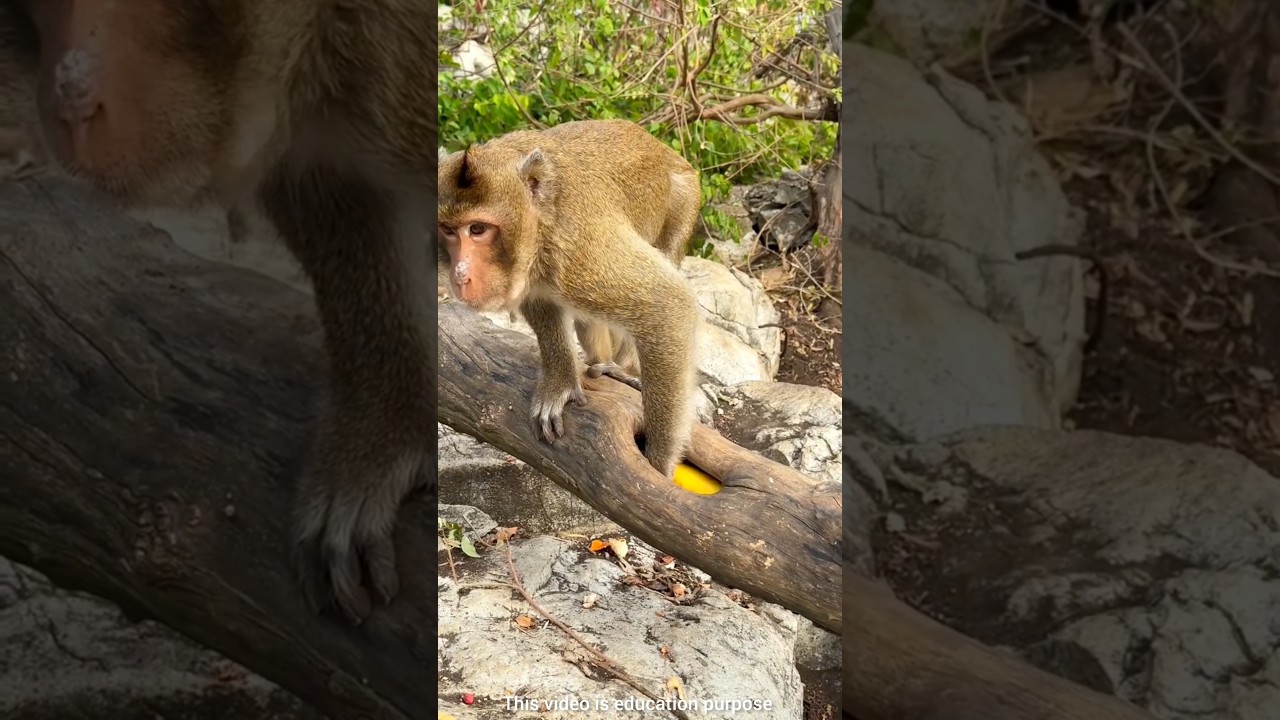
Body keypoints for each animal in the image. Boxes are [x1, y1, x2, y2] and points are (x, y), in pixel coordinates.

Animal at [437, 119, 701, 480]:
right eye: (448, 231)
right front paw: (559, 383)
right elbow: (542, 304)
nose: (461, 274)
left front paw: (658, 464)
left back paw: (626, 368)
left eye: (478, 229)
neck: (542, 223)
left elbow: (667, 305)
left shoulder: (579, 251)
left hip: (683, 201)